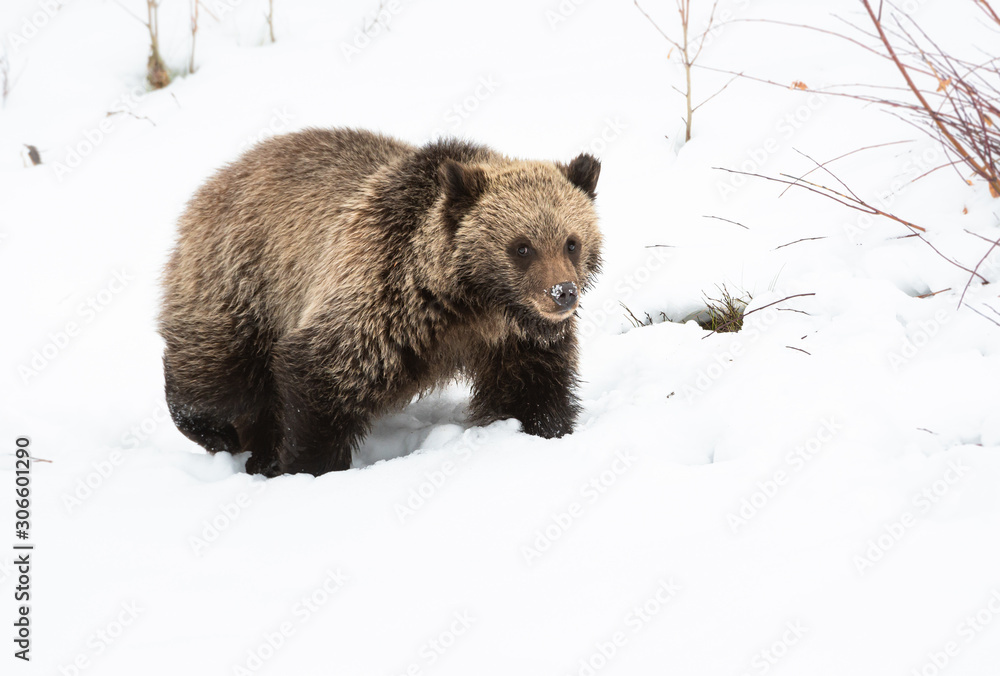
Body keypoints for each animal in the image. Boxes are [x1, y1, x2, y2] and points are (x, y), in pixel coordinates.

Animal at [159, 128, 602, 476]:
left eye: (571, 242)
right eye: (522, 247)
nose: (562, 293)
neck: (471, 304)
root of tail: (221, 174)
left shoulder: (515, 338)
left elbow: (530, 389)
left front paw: (544, 429)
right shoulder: (377, 302)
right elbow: (319, 378)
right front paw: (306, 465)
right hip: (241, 281)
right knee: (216, 377)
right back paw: (224, 434)